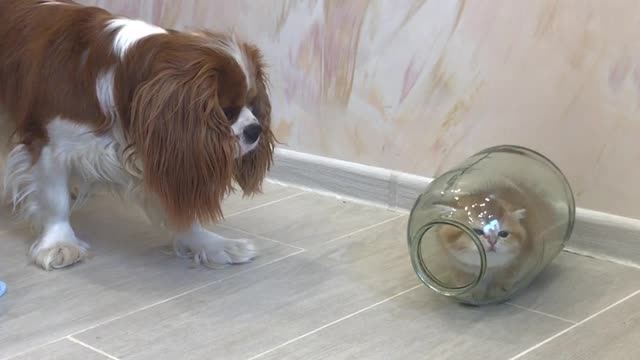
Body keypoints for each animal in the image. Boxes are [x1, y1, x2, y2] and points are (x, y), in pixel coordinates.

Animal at [0, 0, 272, 270]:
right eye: (226, 112)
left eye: (252, 104)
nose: (255, 130)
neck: (117, 76)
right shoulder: (48, 143)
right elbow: (55, 200)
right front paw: (59, 243)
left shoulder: (161, 150)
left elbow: (177, 206)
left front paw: (212, 244)